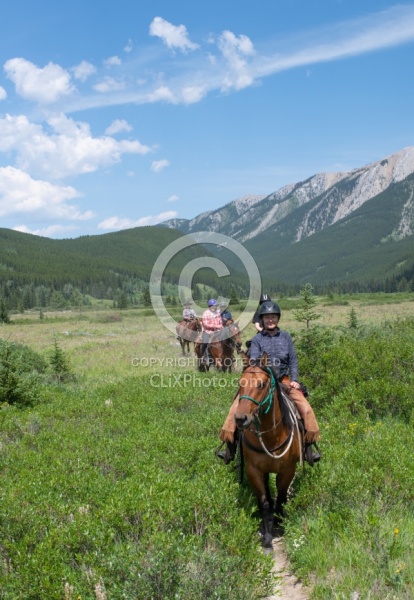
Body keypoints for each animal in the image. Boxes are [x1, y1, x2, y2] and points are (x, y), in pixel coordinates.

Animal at [236, 352, 300, 548]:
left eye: (261, 384)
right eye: (240, 383)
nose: (240, 418)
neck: (271, 436)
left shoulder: (288, 470)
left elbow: (281, 498)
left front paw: (279, 523)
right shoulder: (254, 470)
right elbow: (264, 502)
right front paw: (267, 537)